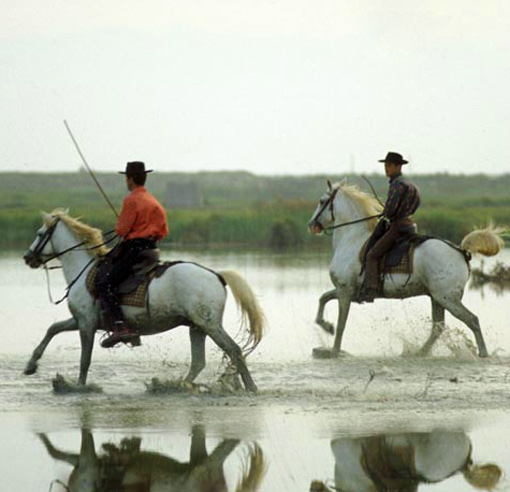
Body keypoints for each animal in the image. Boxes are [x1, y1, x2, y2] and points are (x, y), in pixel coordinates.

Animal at [22, 209, 264, 392]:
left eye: (40, 233)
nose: (27, 257)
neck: (83, 271)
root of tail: (216, 274)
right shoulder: (81, 320)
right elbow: (53, 329)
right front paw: (31, 365)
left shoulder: (86, 324)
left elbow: (84, 360)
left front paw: (79, 386)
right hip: (197, 327)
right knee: (199, 362)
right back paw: (180, 385)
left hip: (210, 325)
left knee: (234, 350)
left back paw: (250, 387)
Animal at [308, 180, 504, 358]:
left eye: (321, 200)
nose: (311, 225)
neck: (351, 239)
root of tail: (461, 251)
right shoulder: (346, 290)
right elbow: (323, 299)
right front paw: (327, 326)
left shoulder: (345, 290)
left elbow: (341, 323)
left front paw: (334, 350)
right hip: (437, 298)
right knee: (438, 327)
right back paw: (419, 352)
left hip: (448, 298)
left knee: (472, 320)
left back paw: (483, 353)